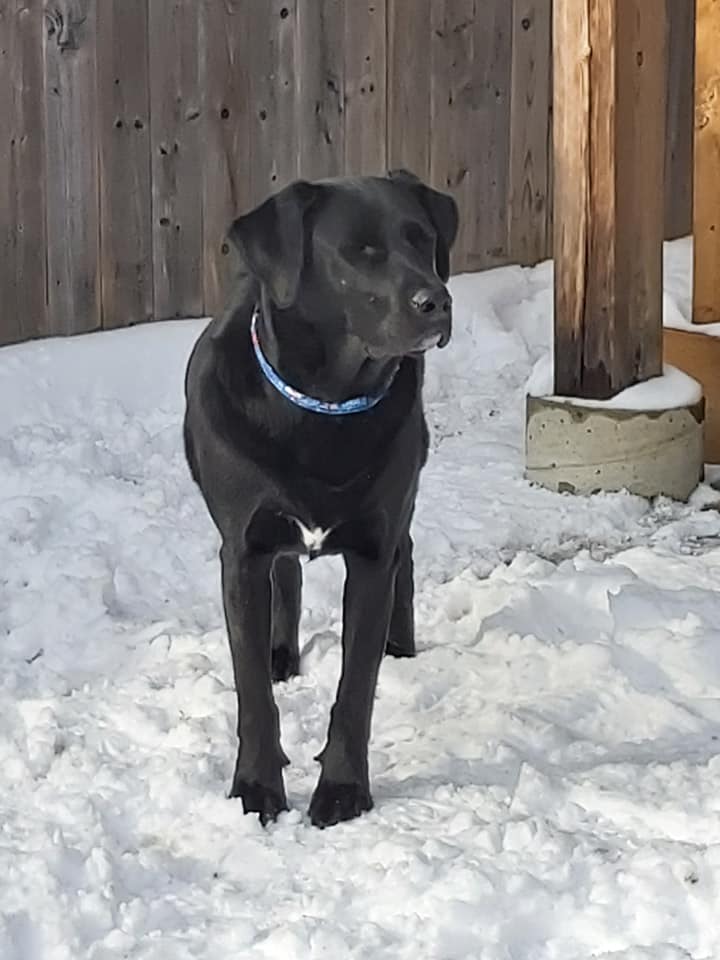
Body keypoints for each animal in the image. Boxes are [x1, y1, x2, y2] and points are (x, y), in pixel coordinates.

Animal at [184, 171, 456, 824]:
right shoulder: (241, 551)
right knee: (289, 573)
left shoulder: (374, 548)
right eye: (360, 251)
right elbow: (252, 690)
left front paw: (343, 790)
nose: (437, 301)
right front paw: (256, 787)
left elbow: (356, 689)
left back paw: (400, 646)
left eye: (423, 238)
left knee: (406, 554)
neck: (324, 405)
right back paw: (283, 653)